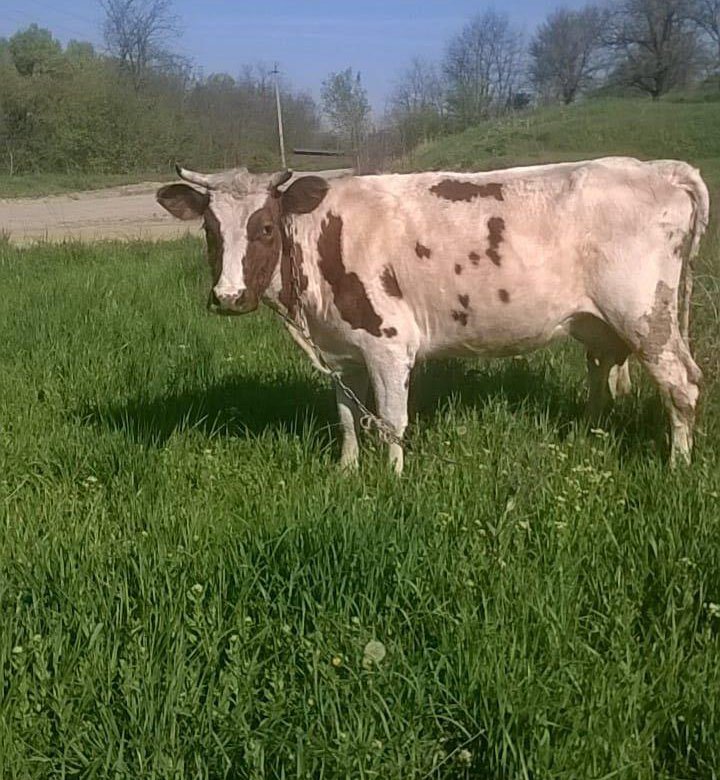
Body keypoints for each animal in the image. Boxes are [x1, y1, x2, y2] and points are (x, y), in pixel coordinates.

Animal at [156, 157, 708, 473]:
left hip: (645, 315)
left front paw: (393, 480)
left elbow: (391, 420)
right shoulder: (341, 350)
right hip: (602, 323)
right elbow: (347, 416)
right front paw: (347, 471)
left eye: (266, 227)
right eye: (209, 228)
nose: (228, 297)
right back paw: (589, 436)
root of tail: (657, 167)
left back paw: (676, 467)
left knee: (682, 384)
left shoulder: (388, 344)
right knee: (606, 374)